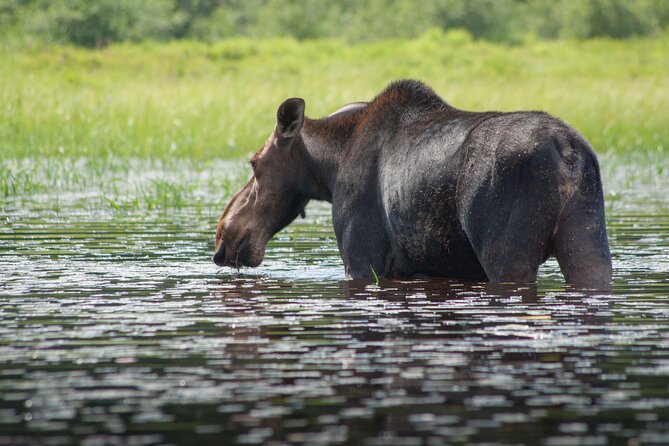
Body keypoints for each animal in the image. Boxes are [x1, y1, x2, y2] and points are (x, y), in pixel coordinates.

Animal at [214, 80, 612, 290]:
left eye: (254, 164)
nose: (223, 238)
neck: (330, 168)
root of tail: (568, 151)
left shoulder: (362, 259)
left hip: (507, 255)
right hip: (588, 245)